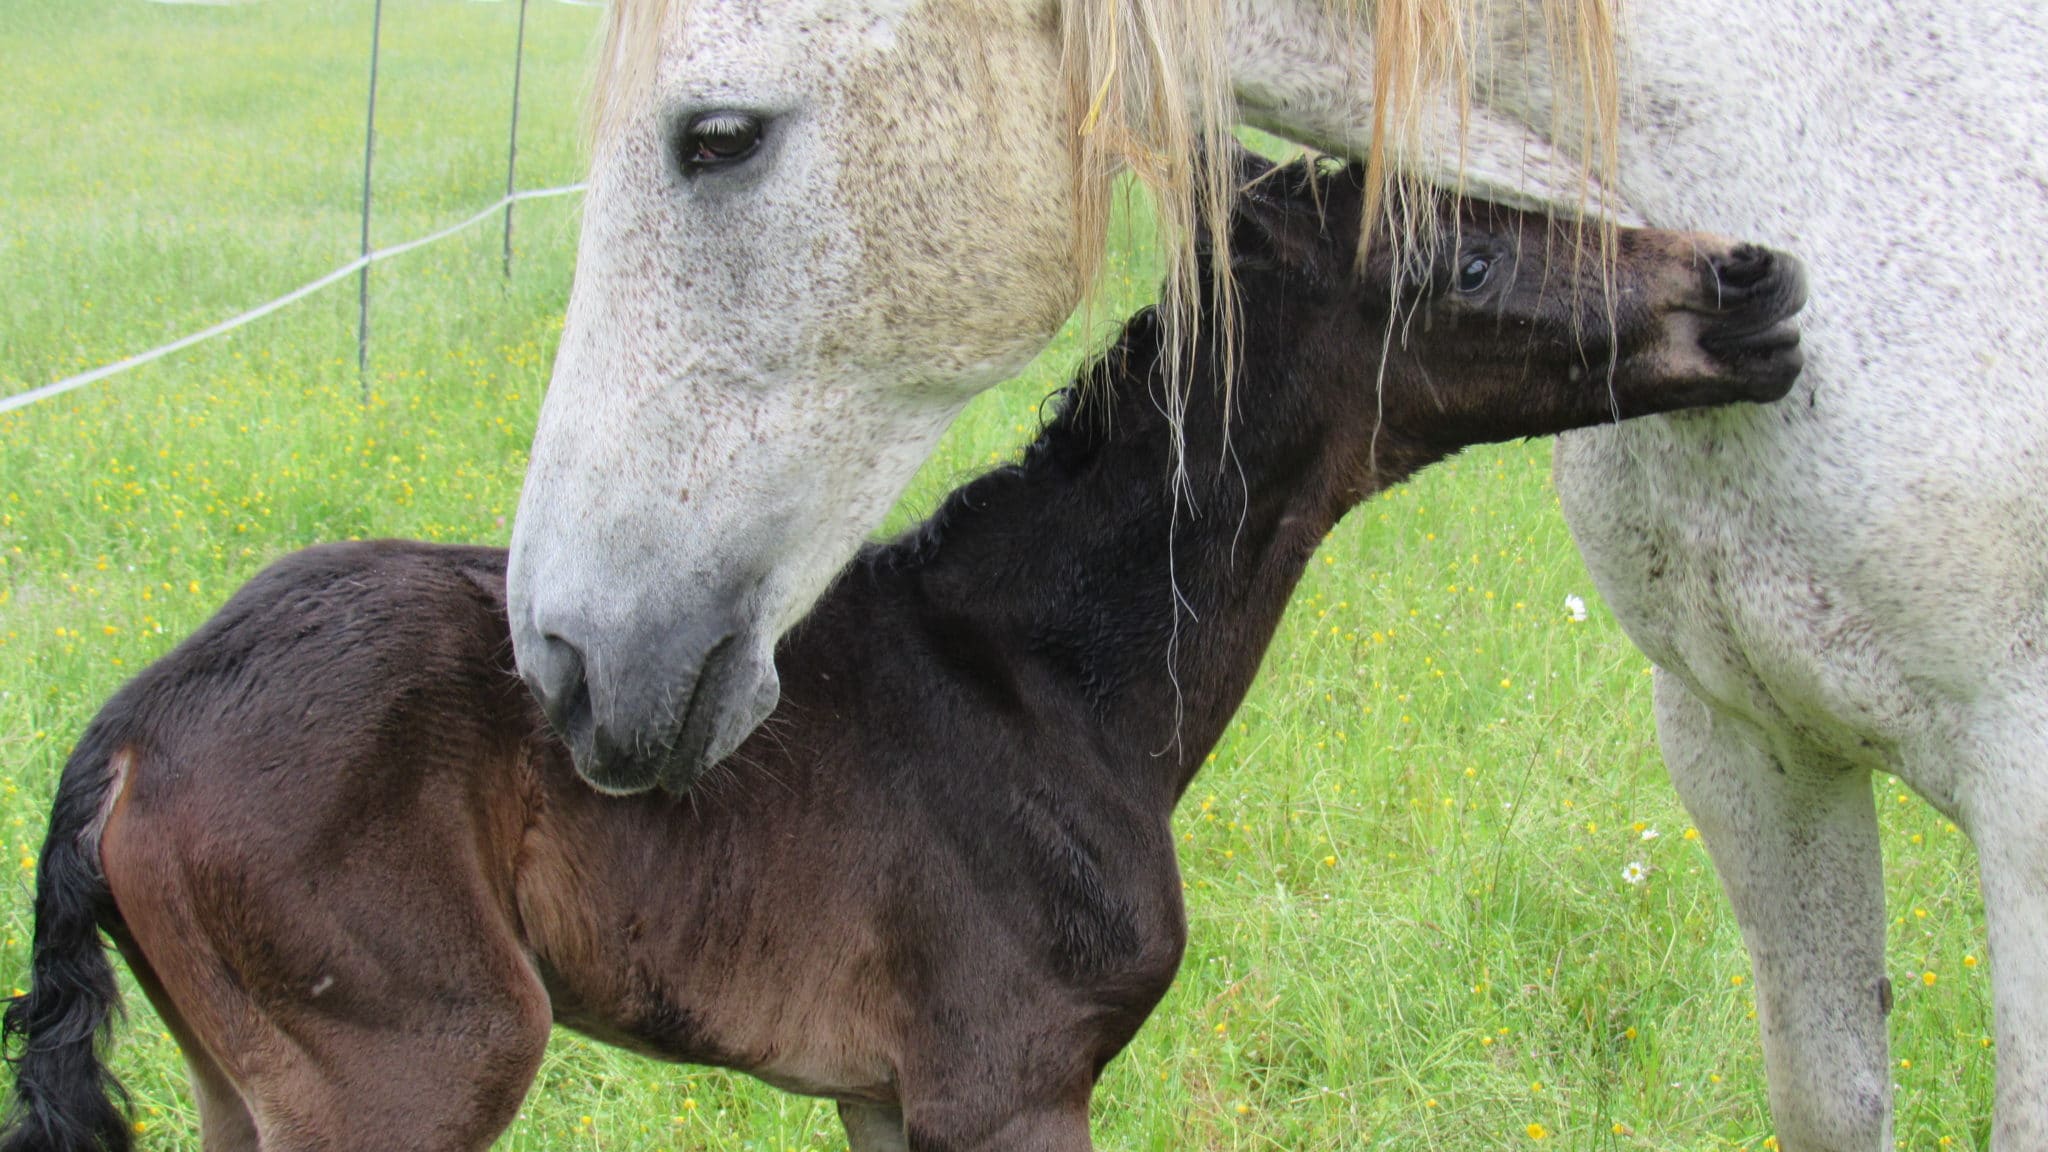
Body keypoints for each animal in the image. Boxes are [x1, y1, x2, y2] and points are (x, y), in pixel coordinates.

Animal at [0, 154, 1802, 1147]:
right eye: (1465, 258)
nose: (1757, 280)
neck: (1051, 687)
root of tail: (133, 726)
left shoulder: (886, 1096)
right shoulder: (1007, 1083)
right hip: (417, 1064)